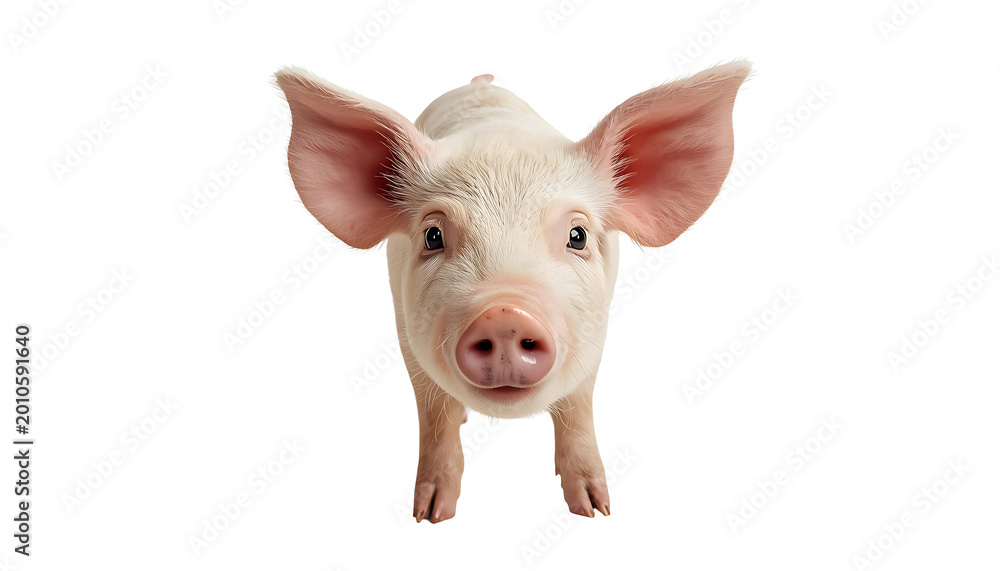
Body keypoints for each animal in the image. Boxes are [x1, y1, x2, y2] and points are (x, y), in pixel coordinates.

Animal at [275, 61, 750, 523]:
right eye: (432, 236)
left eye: (577, 236)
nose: (505, 314)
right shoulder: (404, 328)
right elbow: (434, 413)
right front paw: (429, 515)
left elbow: (578, 407)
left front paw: (595, 509)